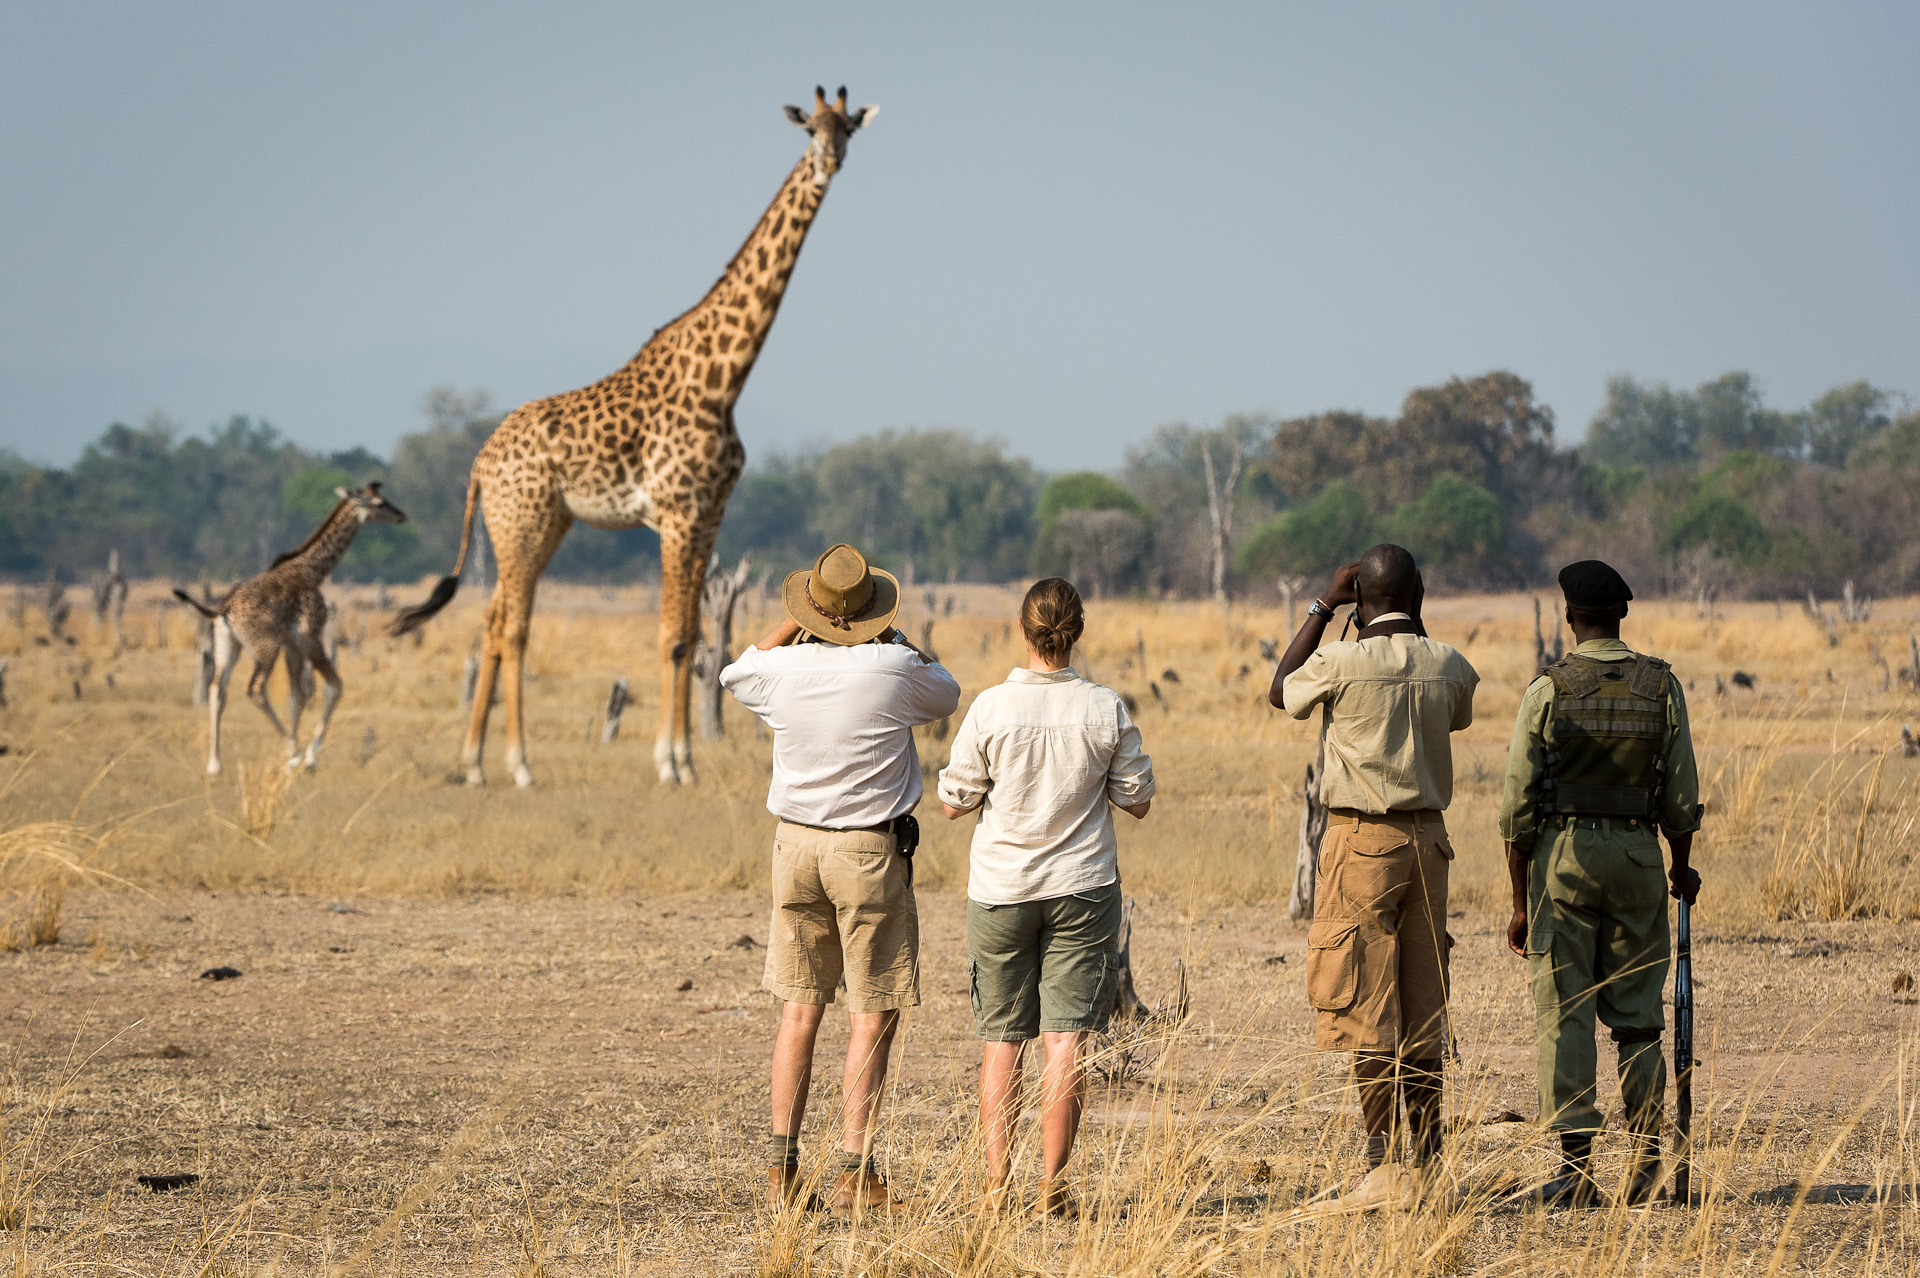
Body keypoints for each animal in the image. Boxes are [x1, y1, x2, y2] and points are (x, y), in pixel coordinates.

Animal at [178, 483, 407, 771]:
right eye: (380, 503)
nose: (401, 515)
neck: (313, 570)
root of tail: (224, 609)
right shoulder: (310, 636)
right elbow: (335, 686)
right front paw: (307, 757)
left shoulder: (291, 644)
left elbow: (295, 697)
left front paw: (294, 760)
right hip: (265, 647)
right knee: (255, 689)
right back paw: (293, 750)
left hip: (227, 646)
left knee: (216, 690)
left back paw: (214, 765)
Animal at [393, 87, 879, 786]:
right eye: (811, 128)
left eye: (849, 129)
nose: (829, 161)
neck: (724, 378)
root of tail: (479, 465)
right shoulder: (677, 513)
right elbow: (673, 637)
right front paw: (670, 763)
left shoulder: (709, 515)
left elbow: (695, 635)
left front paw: (685, 758)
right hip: (520, 524)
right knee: (513, 628)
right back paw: (518, 763)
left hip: (540, 525)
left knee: (490, 622)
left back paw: (474, 762)